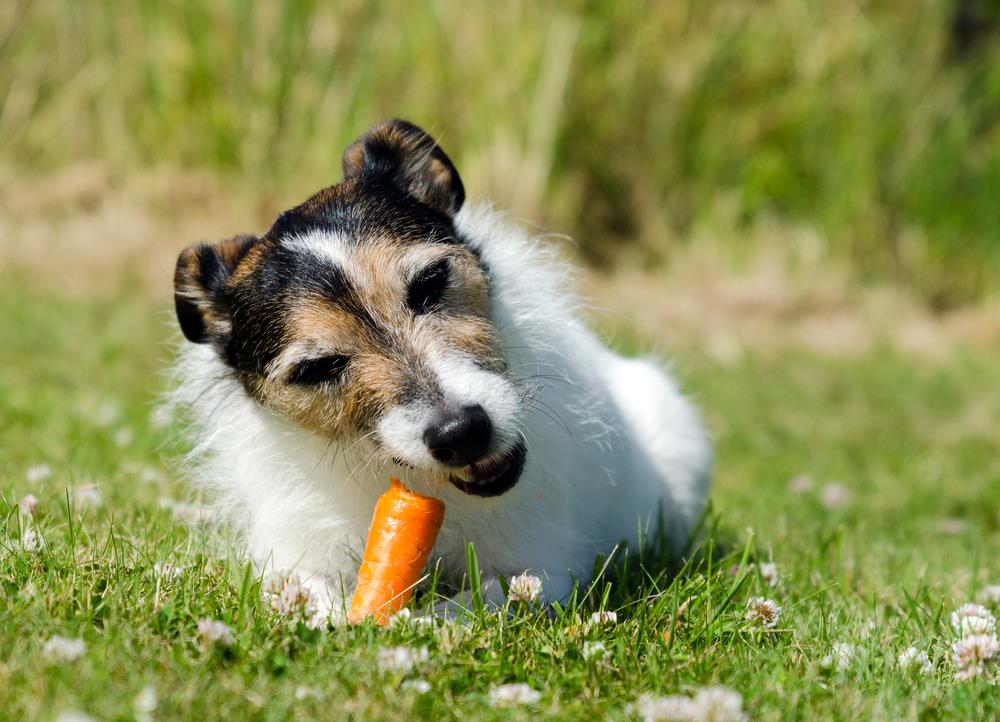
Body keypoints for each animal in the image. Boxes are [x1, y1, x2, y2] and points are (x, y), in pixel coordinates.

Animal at [172, 118, 716, 620]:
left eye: (431, 282)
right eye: (316, 368)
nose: (462, 432)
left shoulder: (542, 567)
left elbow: (481, 601)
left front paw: (420, 622)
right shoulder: (295, 552)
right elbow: (304, 587)